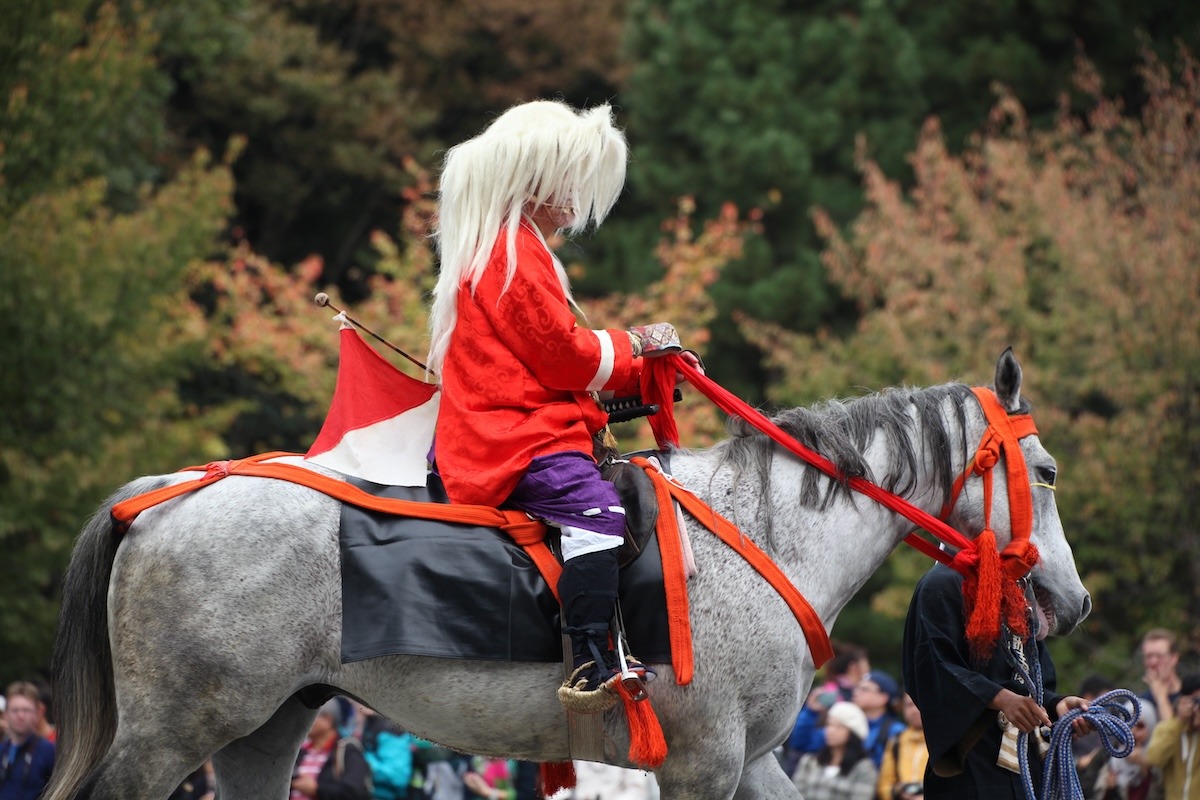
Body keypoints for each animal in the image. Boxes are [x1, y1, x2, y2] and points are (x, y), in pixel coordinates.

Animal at [46, 350, 1089, 800]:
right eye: (1043, 472)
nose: (1072, 602)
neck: (767, 536)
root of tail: (166, 493)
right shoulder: (704, 766)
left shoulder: (752, 761)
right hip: (174, 731)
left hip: (266, 726)